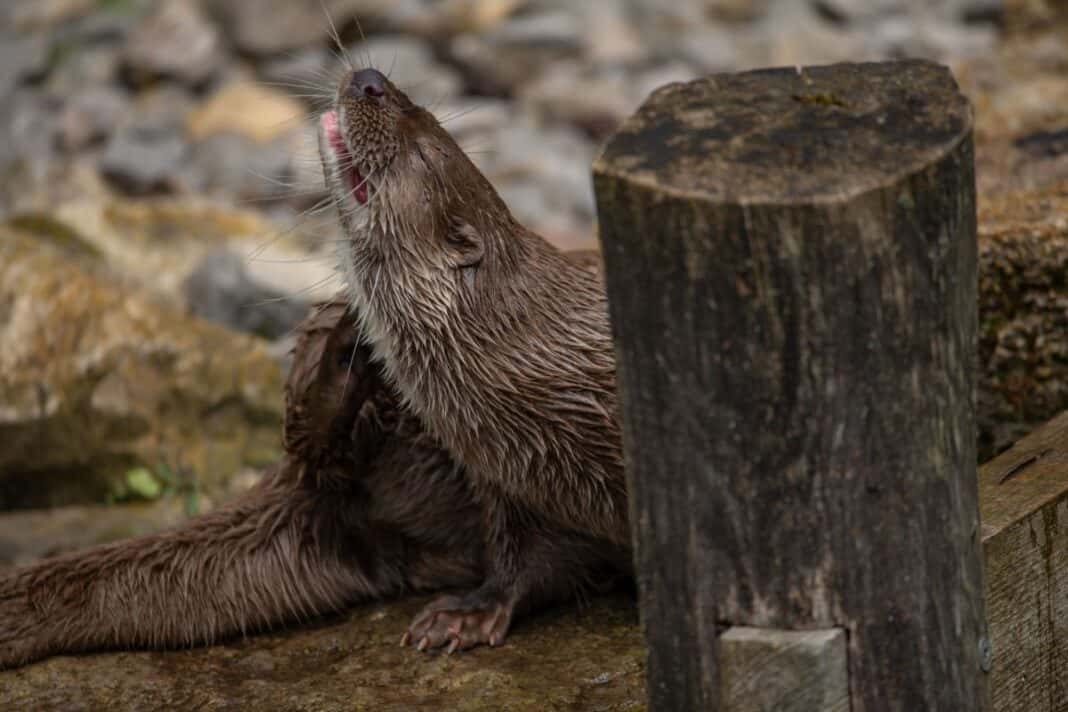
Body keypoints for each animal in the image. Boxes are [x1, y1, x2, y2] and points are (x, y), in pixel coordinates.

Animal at [320, 69, 627, 653]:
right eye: (428, 116)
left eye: (423, 152)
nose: (370, 81)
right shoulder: (509, 476)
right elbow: (523, 558)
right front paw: (468, 612)